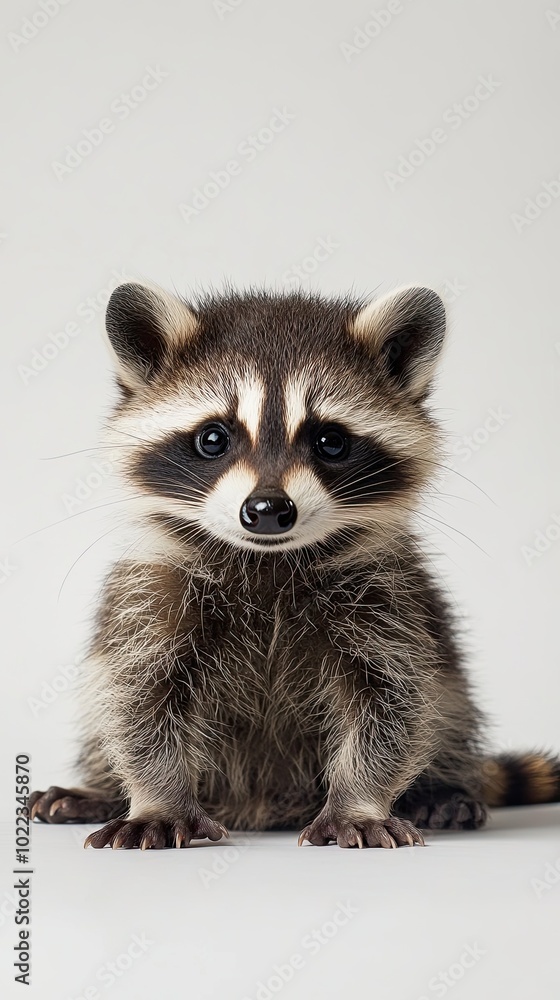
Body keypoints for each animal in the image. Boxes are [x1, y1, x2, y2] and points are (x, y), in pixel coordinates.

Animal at [30, 282, 560, 850]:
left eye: (330, 441)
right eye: (213, 438)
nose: (267, 510)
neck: (268, 558)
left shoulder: (386, 600)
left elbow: (392, 704)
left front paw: (360, 801)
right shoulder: (153, 593)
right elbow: (139, 699)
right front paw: (157, 798)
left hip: (447, 675)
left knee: (449, 700)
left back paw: (438, 788)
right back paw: (102, 788)